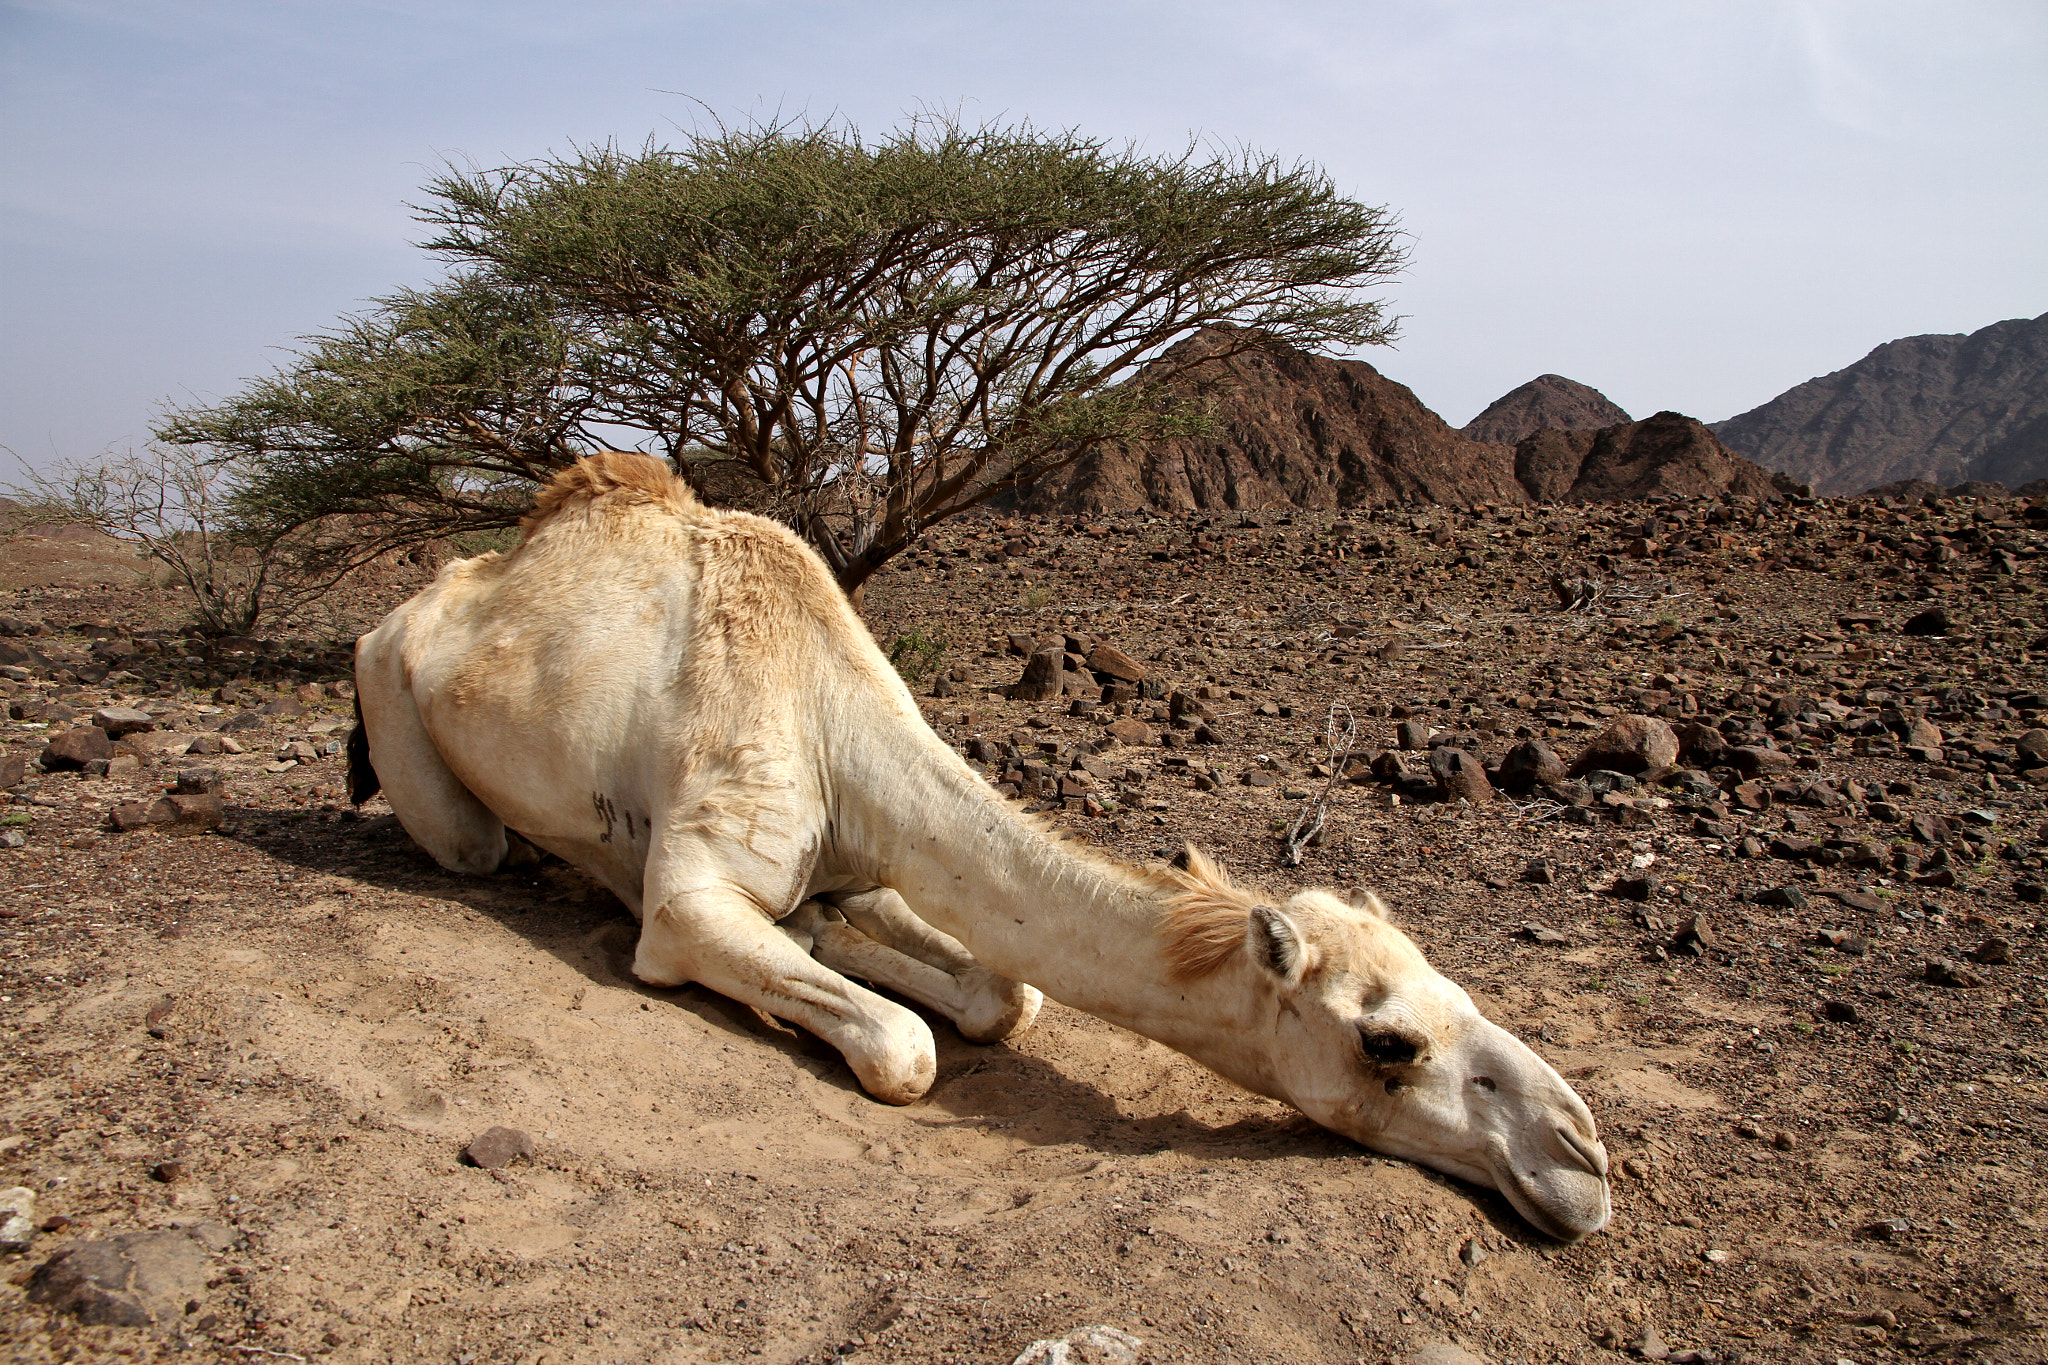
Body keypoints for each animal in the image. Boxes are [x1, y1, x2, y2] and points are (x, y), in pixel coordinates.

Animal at [350, 453, 1611, 1242]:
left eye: (1463, 989)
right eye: (1386, 1044)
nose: (1581, 1159)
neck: (836, 728)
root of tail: (428, 594)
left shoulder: (863, 865)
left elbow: (1004, 996)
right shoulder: (690, 899)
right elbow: (903, 1047)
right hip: (397, 706)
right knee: (472, 846)